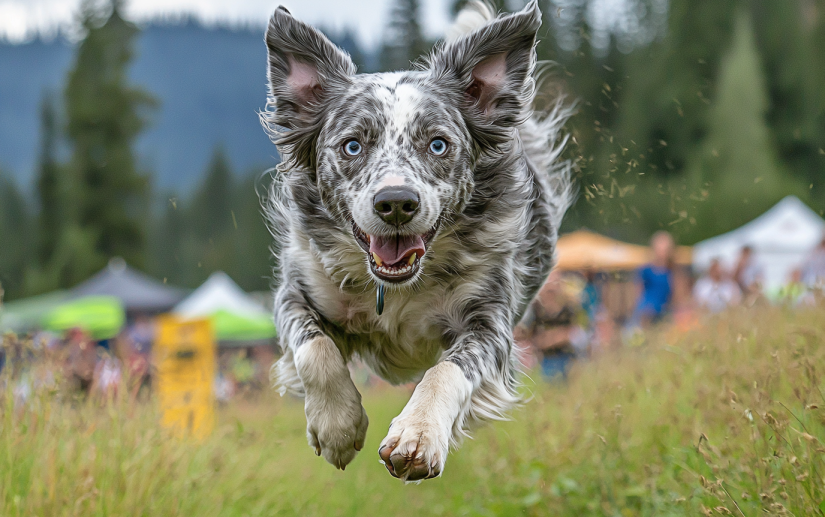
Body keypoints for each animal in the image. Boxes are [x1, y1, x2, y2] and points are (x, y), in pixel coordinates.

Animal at [260, 0, 568, 482]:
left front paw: (418, 435)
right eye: (352, 146)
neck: (398, 289)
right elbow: (315, 349)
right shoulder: (296, 292)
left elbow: (448, 370)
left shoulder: (490, 319)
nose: (396, 203)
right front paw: (338, 426)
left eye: (438, 144)